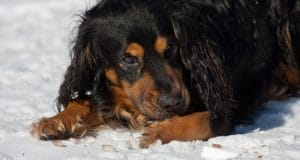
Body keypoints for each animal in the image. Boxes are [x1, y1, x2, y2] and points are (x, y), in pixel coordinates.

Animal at [31, 0, 300, 149]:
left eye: (171, 47)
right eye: (129, 59)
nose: (173, 103)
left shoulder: (228, 101)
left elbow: (205, 119)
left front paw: (161, 132)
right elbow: (90, 100)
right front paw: (57, 121)